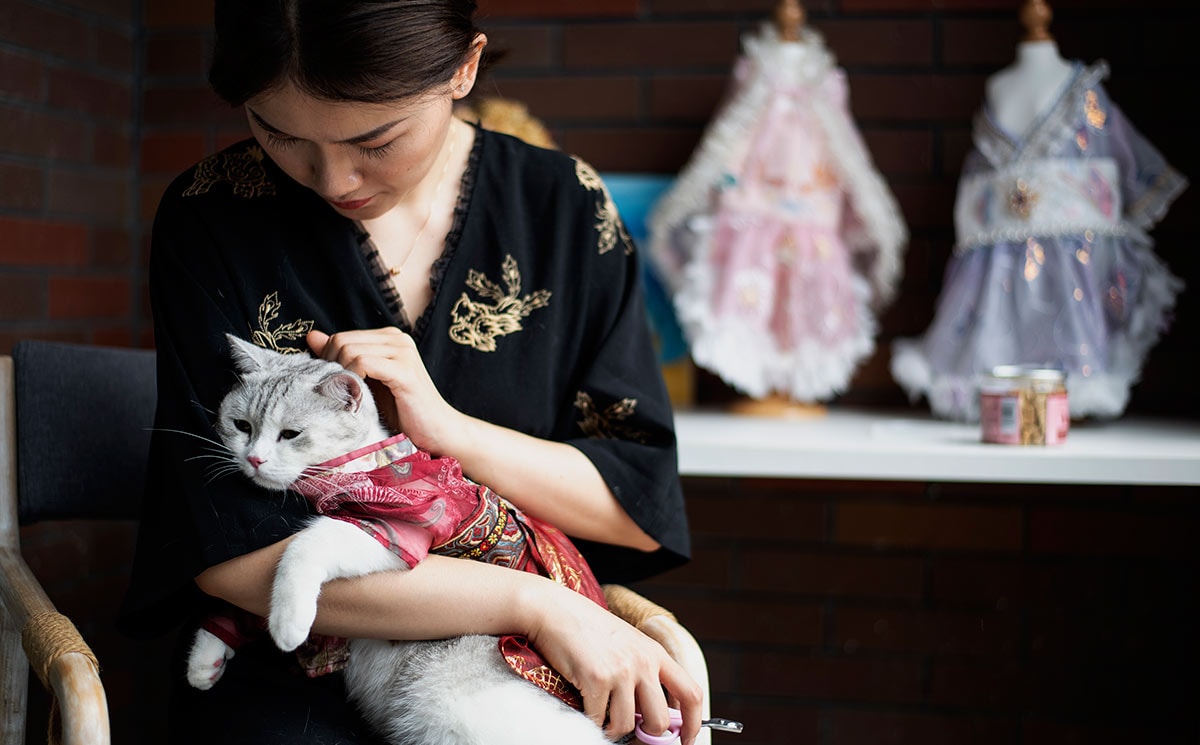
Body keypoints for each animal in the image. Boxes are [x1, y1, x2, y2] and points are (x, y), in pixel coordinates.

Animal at [189, 333, 619, 743]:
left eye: (290, 434)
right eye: (242, 425)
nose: (254, 459)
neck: (355, 466)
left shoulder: (395, 531)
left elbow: (305, 546)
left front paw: (288, 621)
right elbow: (243, 595)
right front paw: (209, 651)